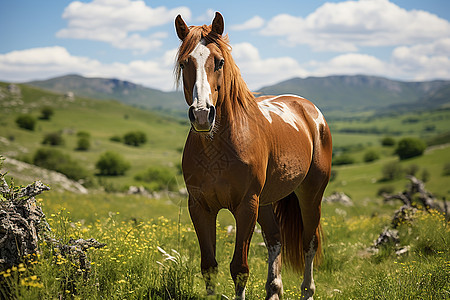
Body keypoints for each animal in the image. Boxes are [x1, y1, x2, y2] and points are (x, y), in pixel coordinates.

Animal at [174, 12, 332, 300]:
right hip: (266, 202)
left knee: (309, 242)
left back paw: (307, 290)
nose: (202, 114)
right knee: (275, 239)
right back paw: (273, 289)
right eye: (184, 62)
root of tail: (310, 111)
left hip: (310, 194)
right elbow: (209, 266)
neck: (218, 148)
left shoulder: (246, 206)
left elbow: (239, 268)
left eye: (220, 61)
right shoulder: (200, 207)